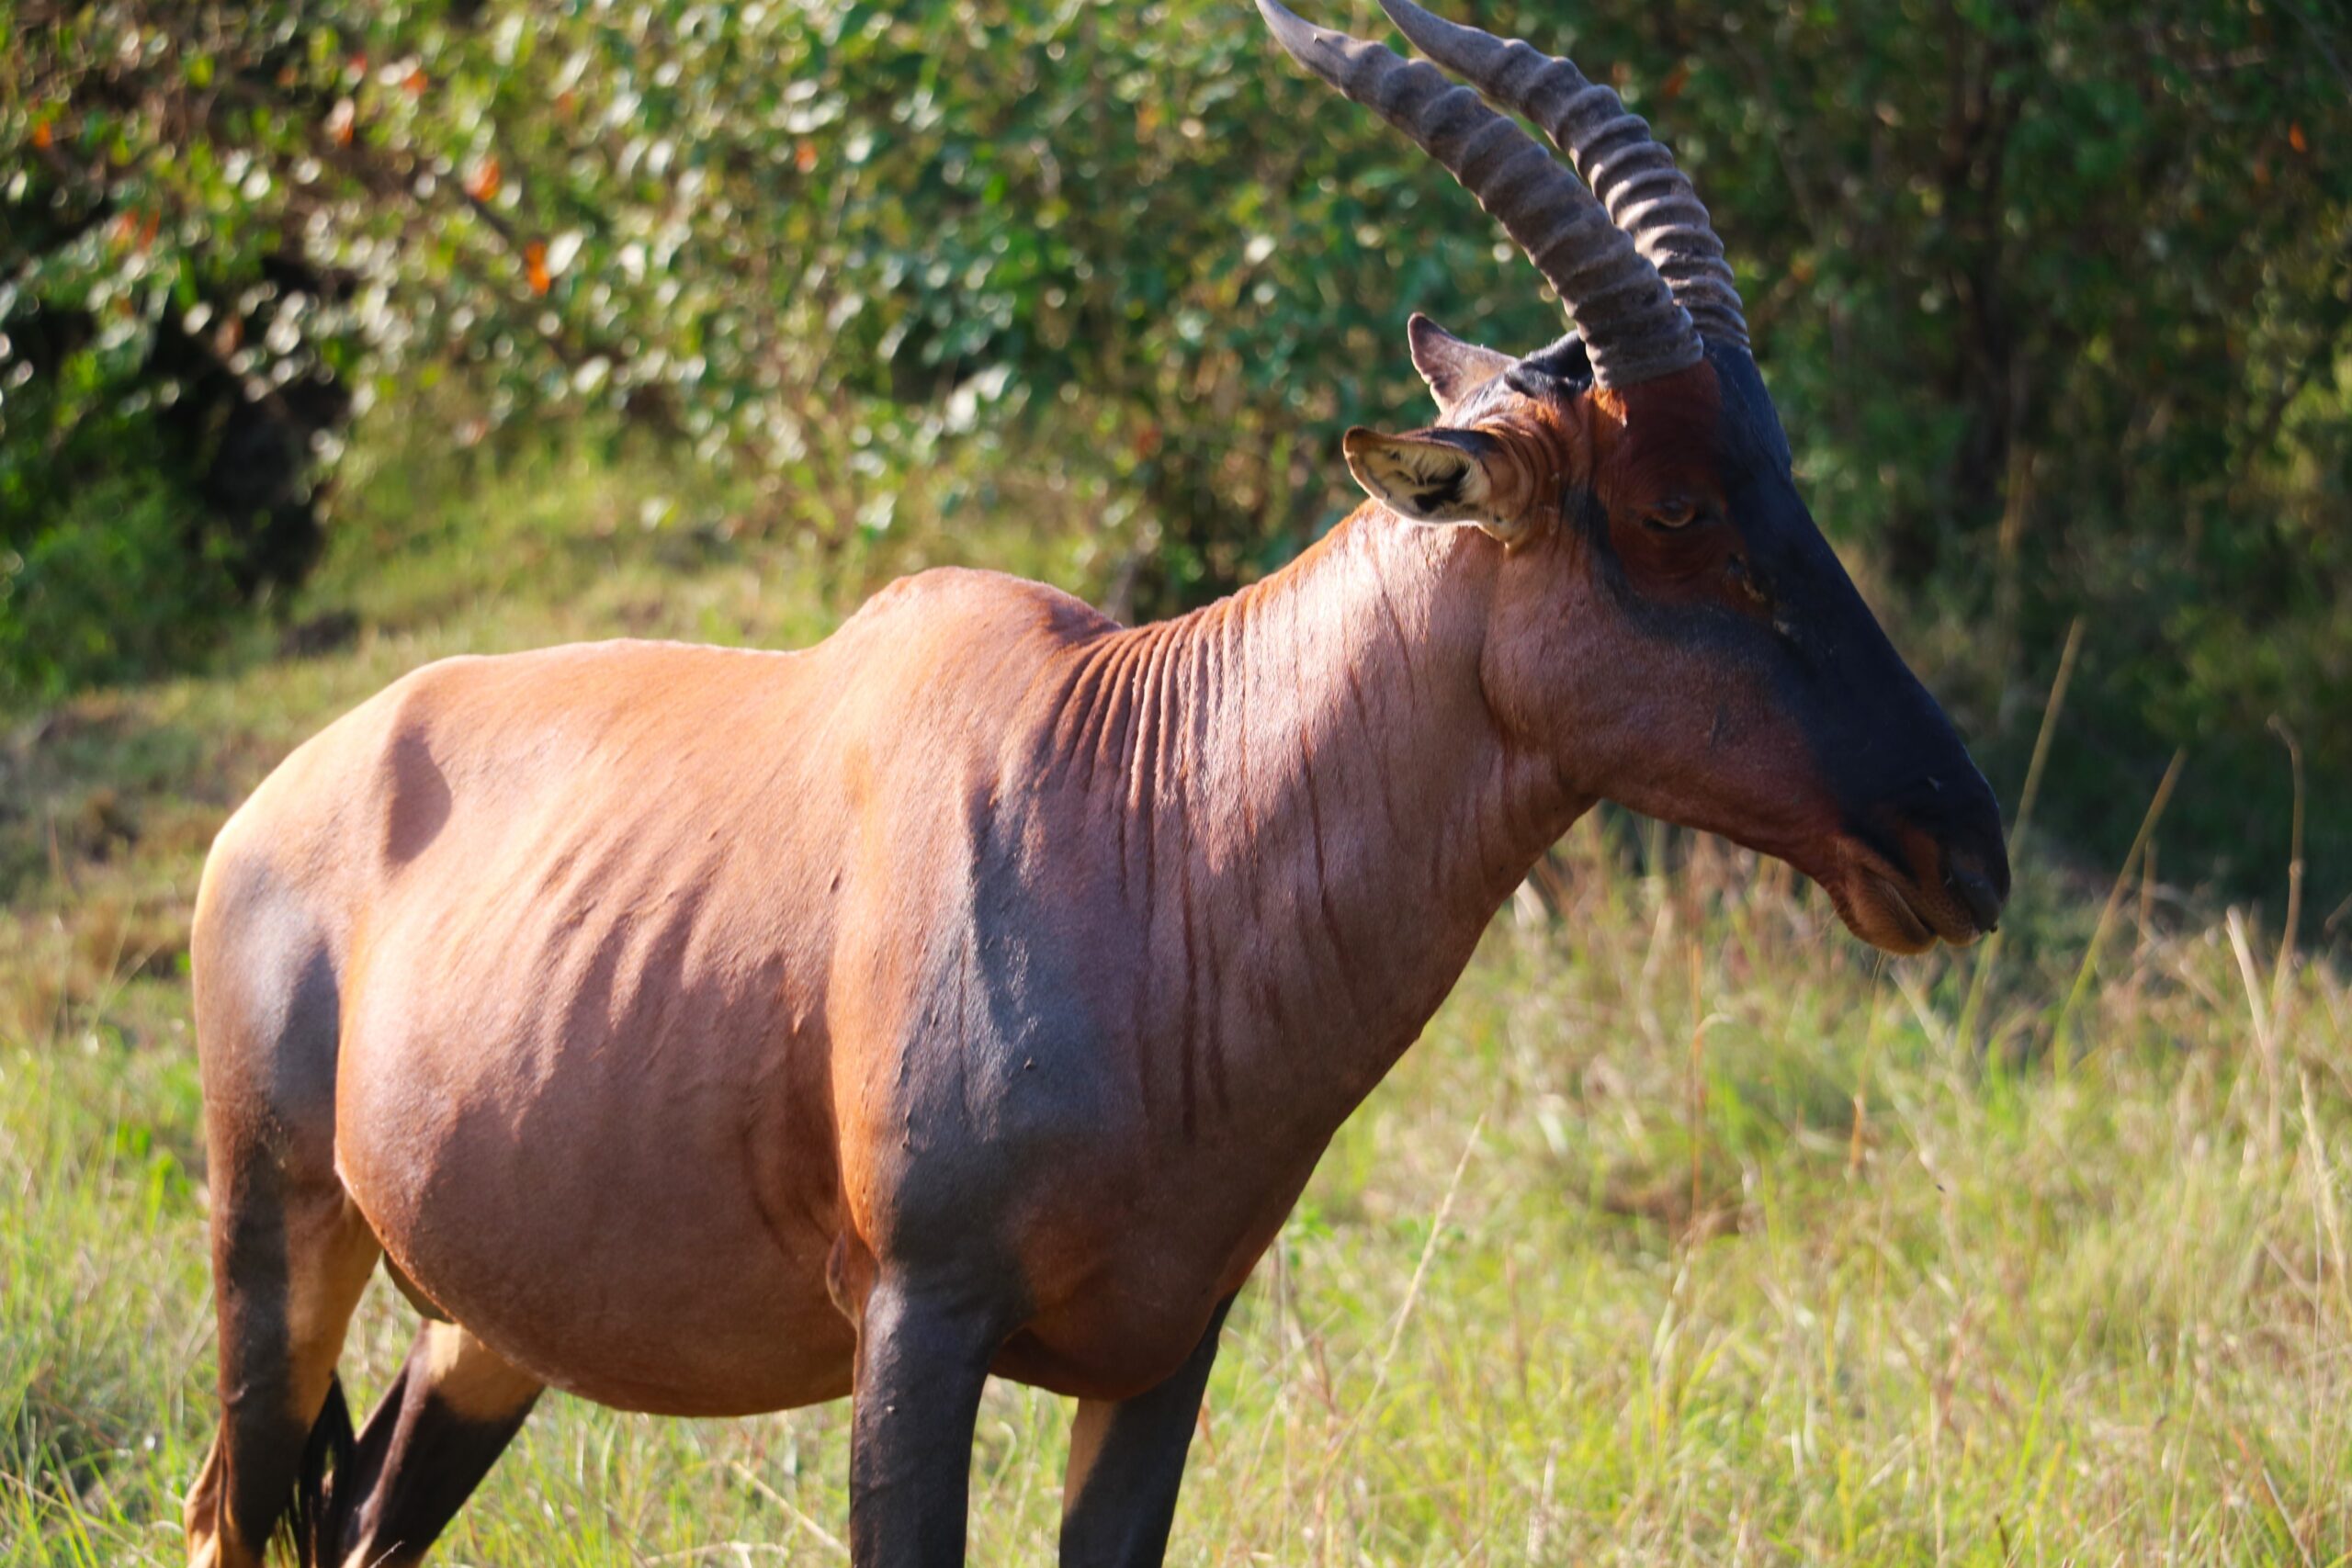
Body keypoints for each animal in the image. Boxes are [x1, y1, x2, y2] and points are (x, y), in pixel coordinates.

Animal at [182, 3, 2009, 1564]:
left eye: (1778, 473)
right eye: (1676, 505)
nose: (1961, 848)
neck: (1138, 803)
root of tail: (288, 795)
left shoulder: (1161, 1350)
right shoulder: (916, 1325)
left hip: (479, 1326)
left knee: (363, 1518)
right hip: (276, 1239)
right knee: (232, 1509)